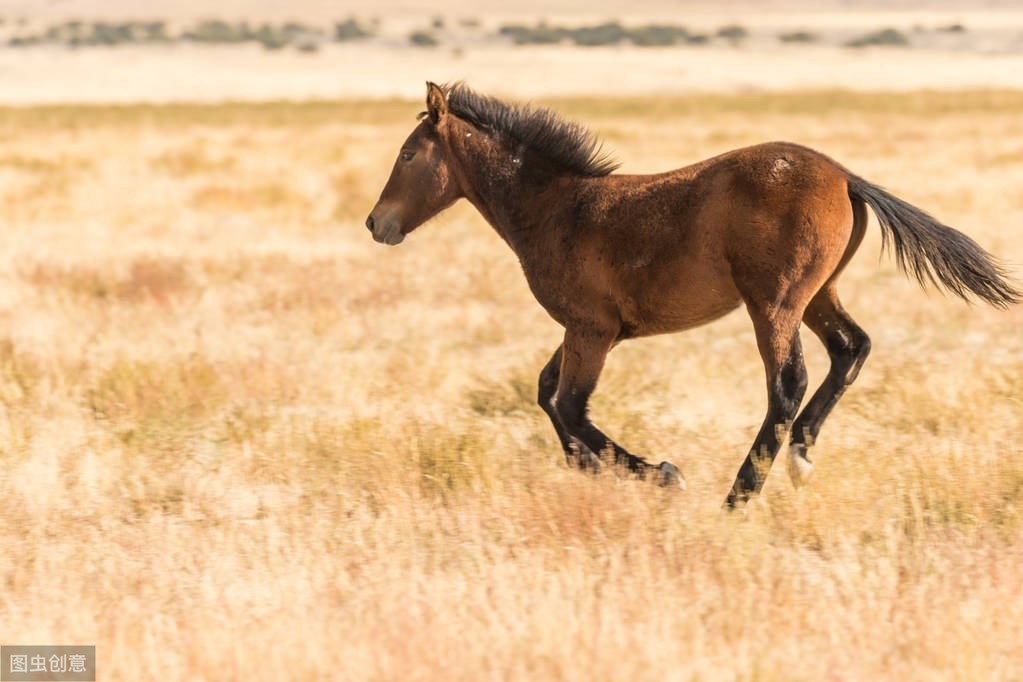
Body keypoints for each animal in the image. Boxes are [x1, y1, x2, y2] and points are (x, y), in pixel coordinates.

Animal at [364, 81, 1018, 507]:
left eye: (406, 153)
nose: (376, 223)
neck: (558, 208)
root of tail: (846, 176)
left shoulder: (591, 329)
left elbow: (569, 405)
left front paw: (661, 473)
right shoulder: (588, 330)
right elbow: (549, 395)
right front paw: (596, 469)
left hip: (774, 303)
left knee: (788, 383)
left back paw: (738, 496)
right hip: (818, 294)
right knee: (851, 349)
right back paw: (802, 460)